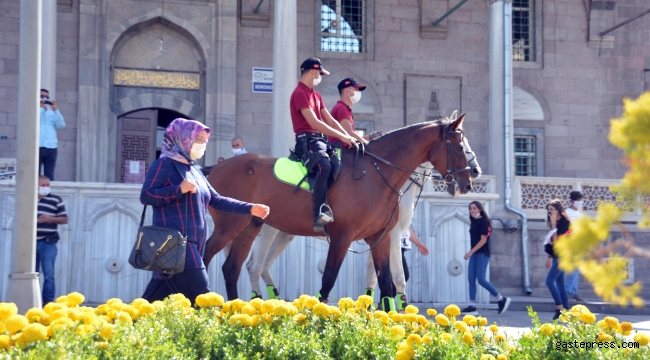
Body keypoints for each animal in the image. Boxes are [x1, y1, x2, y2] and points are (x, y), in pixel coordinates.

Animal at [202, 116, 470, 308]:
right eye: (459, 148)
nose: (469, 181)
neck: (376, 173)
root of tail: (215, 167)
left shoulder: (380, 237)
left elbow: (385, 283)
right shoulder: (343, 236)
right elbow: (329, 279)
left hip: (249, 227)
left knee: (233, 268)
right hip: (232, 226)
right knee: (210, 259)